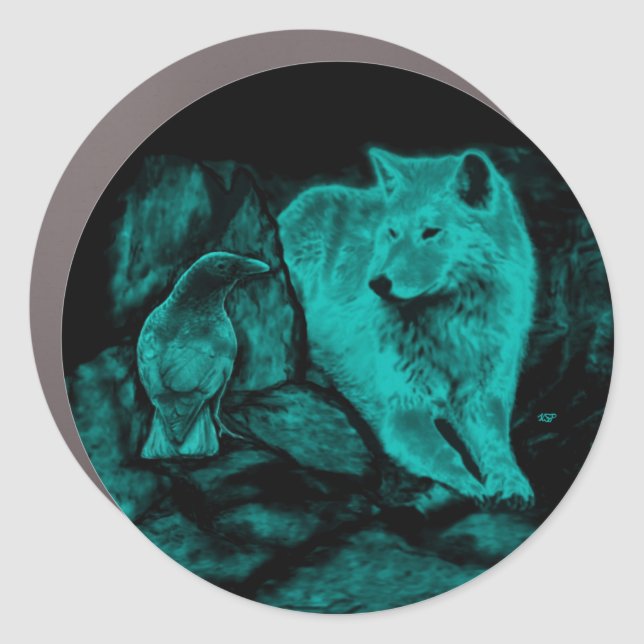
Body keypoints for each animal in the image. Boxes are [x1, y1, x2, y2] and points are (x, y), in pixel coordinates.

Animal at [278, 148, 537, 508]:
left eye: (430, 232)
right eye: (392, 233)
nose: (377, 283)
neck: (448, 328)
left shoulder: (482, 399)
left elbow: (498, 448)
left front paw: (512, 483)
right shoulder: (402, 411)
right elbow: (446, 452)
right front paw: (471, 486)